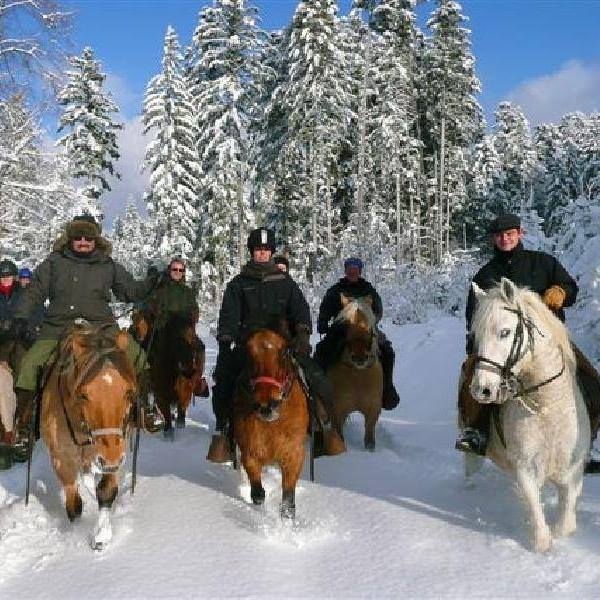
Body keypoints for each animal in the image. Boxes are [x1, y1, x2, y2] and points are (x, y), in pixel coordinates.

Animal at [40, 324, 136, 548]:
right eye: (83, 395)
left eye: (128, 392)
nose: (110, 459)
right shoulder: (62, 458)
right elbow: (74, 504)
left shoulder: (113, 450)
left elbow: (106, 490)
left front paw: (102, 536)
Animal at [233, 328, 310, 520]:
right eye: (248, 352)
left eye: (284, 351)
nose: (267, 405)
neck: (273, 425)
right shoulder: (250, 453)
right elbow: (258, 494)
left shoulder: (293, 455)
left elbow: (288, 503)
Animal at [326, 296, 382, 450]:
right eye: (346, 327)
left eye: (370, 328)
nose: (360, 358)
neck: (357, 377)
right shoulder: (337, 410)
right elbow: (338, 435)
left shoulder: (373, 409)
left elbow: (369, 439)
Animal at [466, 278, 588, 552]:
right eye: (474, 337)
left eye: (505, 332)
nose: (482, 390)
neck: (547, 407)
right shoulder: (524, 468)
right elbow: (535, 511)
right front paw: (542, 542)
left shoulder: (573, 470)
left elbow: (566, 520)